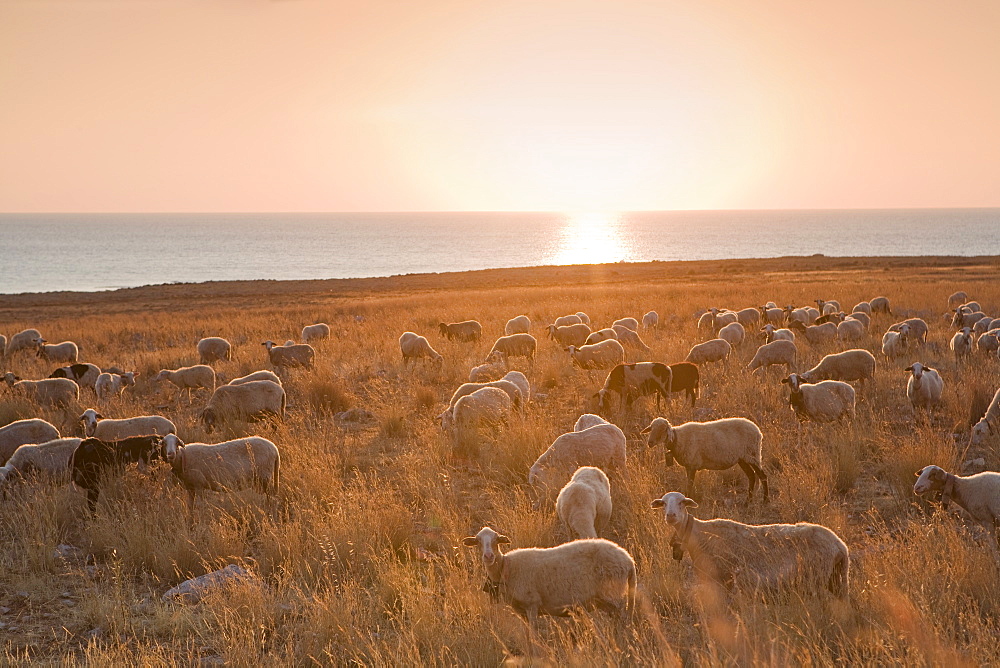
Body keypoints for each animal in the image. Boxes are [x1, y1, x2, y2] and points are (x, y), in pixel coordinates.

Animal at [458, 528, 632, 628]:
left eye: (497, 540)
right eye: (478, 541)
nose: (488, 556)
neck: (506, 567)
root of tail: (628, 559)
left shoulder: (532, 604)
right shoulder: (521, 611)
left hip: (614, 595)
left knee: (623, 620)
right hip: (607, 601)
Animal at [648, 490, 852, 600]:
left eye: (682, 503)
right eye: (664, 503)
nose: (671, 516)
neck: (698, 533)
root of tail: (840, 545)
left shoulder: (724, 576)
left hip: (817, 577)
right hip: (836, 577)